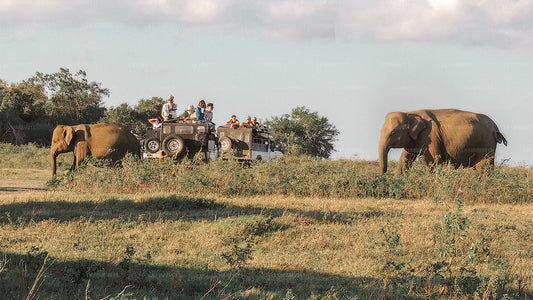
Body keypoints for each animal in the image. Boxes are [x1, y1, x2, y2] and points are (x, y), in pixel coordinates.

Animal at [378, 108, 508, 175]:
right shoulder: (414, 140)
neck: (410, 113)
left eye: (393, 133)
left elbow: (433, 161)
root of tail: (495, 127)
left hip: (486, 143)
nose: (384, 177)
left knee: (483, 168)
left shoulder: (430, 136)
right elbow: (405, 159)